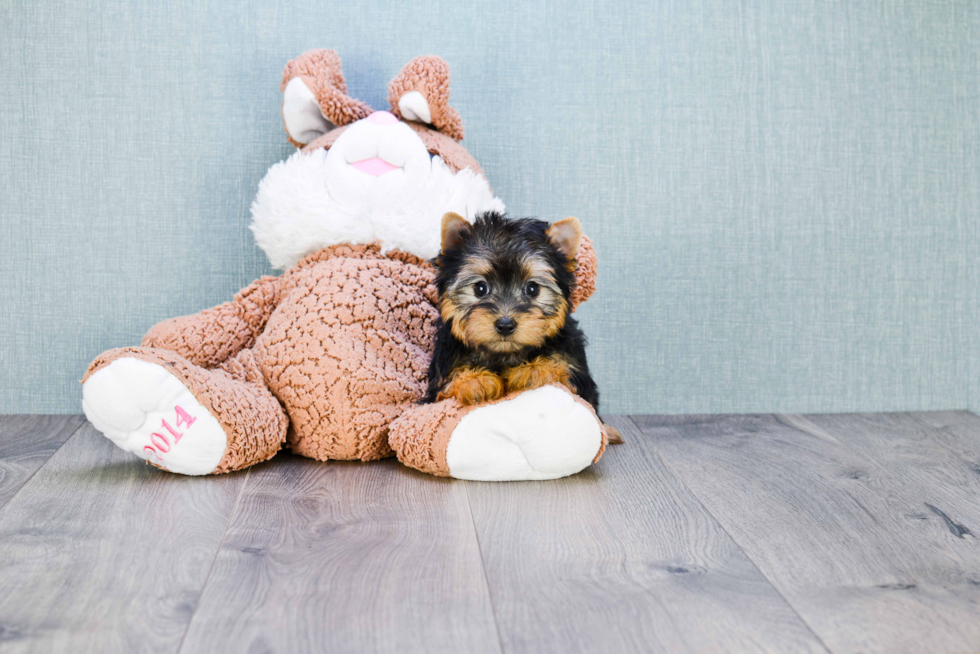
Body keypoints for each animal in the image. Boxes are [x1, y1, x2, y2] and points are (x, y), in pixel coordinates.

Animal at [424, 213, 624, 444]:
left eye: (533, 288)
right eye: (480, 288)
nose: (505, 324)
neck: (505, 354)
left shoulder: (576, 371)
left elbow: (562, 368)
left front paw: (533, 369)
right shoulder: (440, 375)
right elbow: (447, 386)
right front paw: (474, 381)